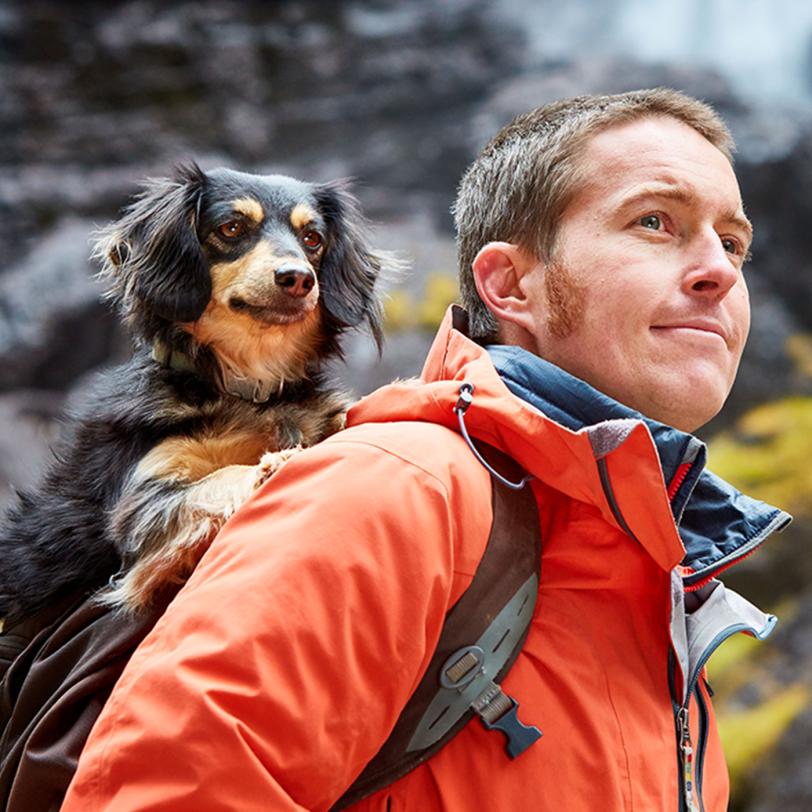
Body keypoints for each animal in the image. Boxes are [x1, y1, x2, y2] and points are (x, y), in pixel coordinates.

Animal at [0, 163, 394, 620]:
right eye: (231, 227)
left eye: (313, 238)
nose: (298, 278)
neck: (248, 388)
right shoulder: (142, 505)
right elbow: (218, 478)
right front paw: (271, 466)